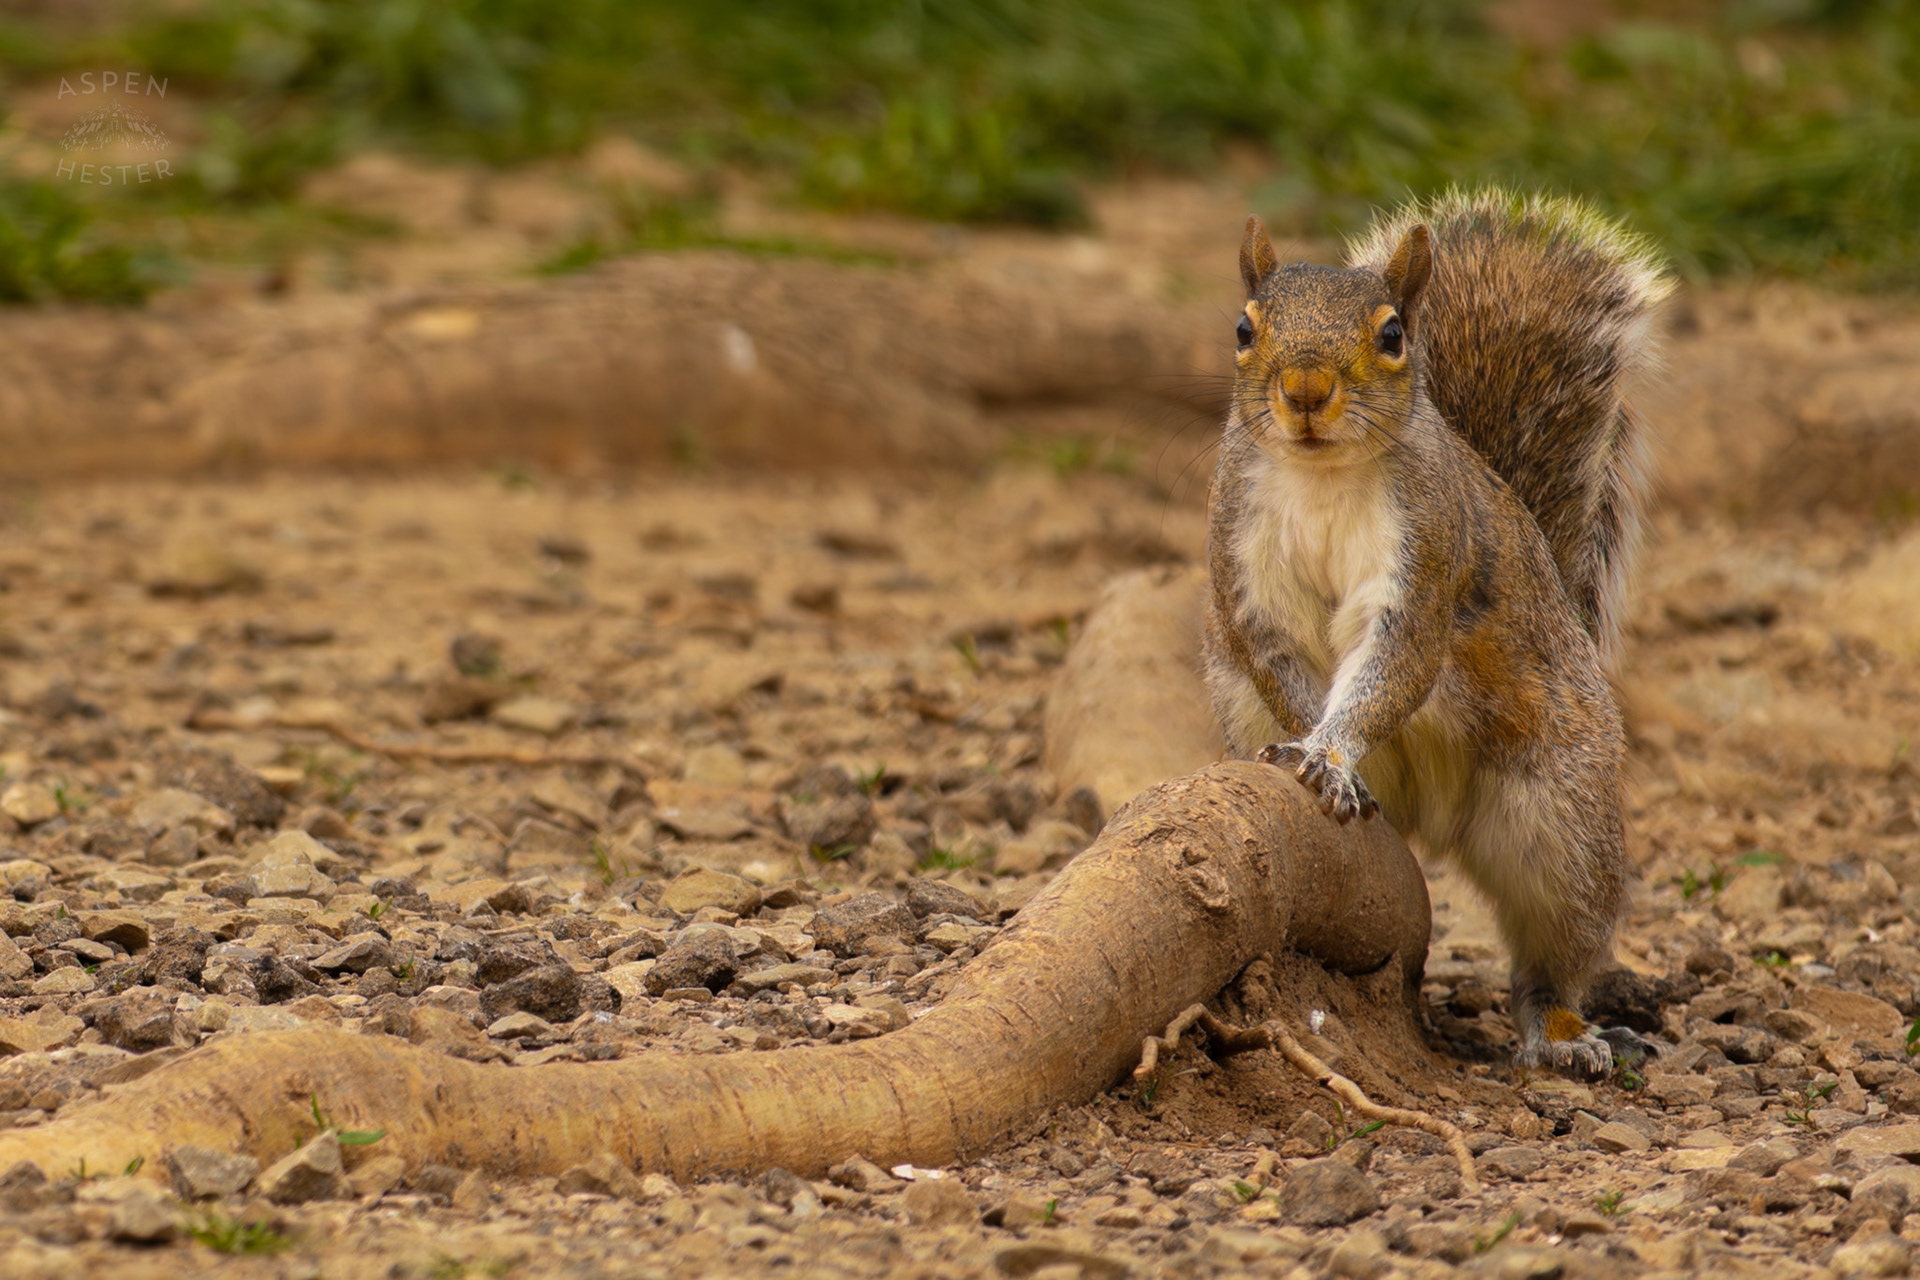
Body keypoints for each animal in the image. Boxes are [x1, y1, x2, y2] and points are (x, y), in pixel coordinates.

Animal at [1202, 189, 1671, 1074]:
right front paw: (1310, 751)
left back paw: (1563, 1033)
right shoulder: (1242, 563)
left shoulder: (1425, 562)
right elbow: (1272, 657)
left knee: (1557, 947)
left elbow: (1396, 664)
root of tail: (1433, 822)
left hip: (1563, 816)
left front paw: (1329, 754)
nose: (1305, 390)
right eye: (1244, 329)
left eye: (1392, 336)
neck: (1321, 474)